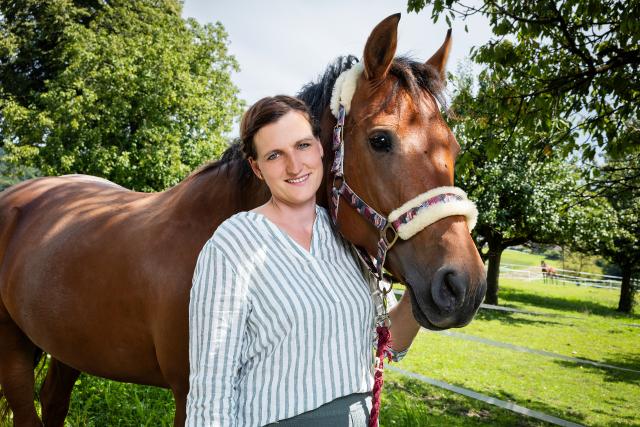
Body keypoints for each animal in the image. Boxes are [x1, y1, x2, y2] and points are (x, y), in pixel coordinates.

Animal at [0, 14, 487, 426]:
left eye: (454, 147)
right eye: (381, 139)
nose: (463, 286)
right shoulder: (191, 392)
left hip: (67, 347)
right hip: (14, 350)